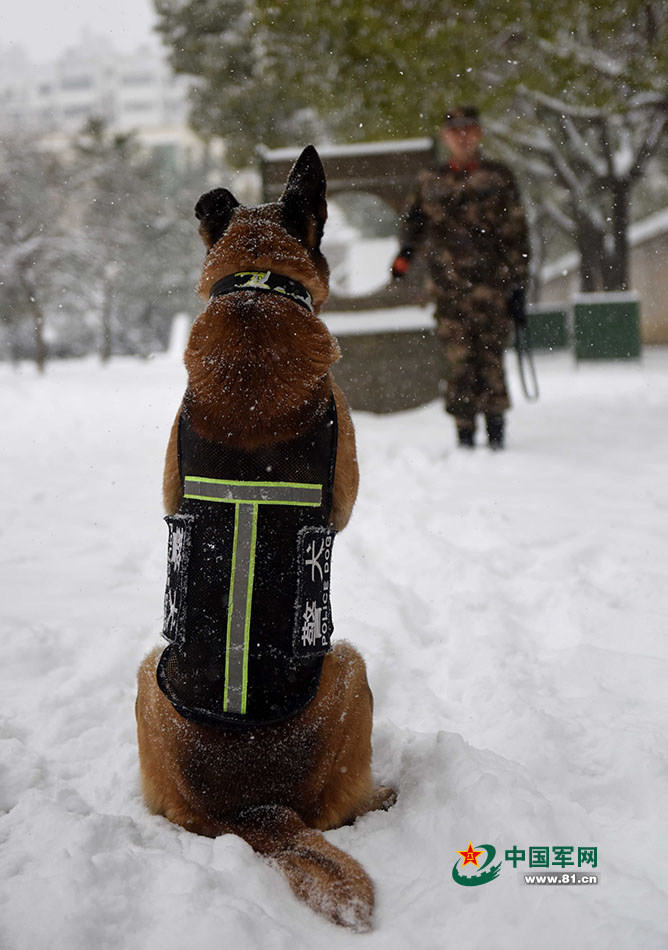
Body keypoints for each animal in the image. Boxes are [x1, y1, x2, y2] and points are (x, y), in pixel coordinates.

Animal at [136, 146, 394, 931]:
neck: (255, 287)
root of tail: (253, 810)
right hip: (350, 665)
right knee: (340, 812)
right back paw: (385, 794)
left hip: (144, 676)